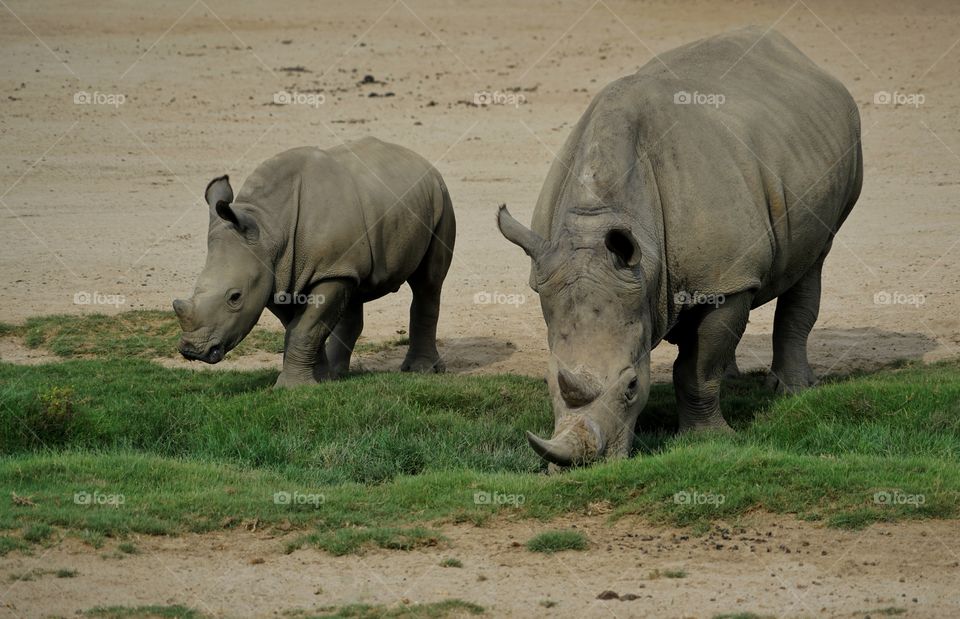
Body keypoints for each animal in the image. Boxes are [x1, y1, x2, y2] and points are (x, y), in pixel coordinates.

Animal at [173, 137, 455, 386]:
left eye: (235, 297)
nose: (192, 350)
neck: (268, 228)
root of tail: (421, 161)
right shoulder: (277, 274)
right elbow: (301, 328)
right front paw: (318, 380)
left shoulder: (325, 269)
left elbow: (305, 328)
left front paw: (292, 387)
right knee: (353, 290)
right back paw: (337, 375)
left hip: (441, 198)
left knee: (428, 284)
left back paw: (421, 371)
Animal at [497, 27, 863, 466]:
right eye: (547, 380)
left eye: (632, 386)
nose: (583, 465)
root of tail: (801, 56)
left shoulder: (725, 280)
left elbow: (696, 369)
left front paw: (709, 440)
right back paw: (734, 377)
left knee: (813, 262)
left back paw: (792, 391)